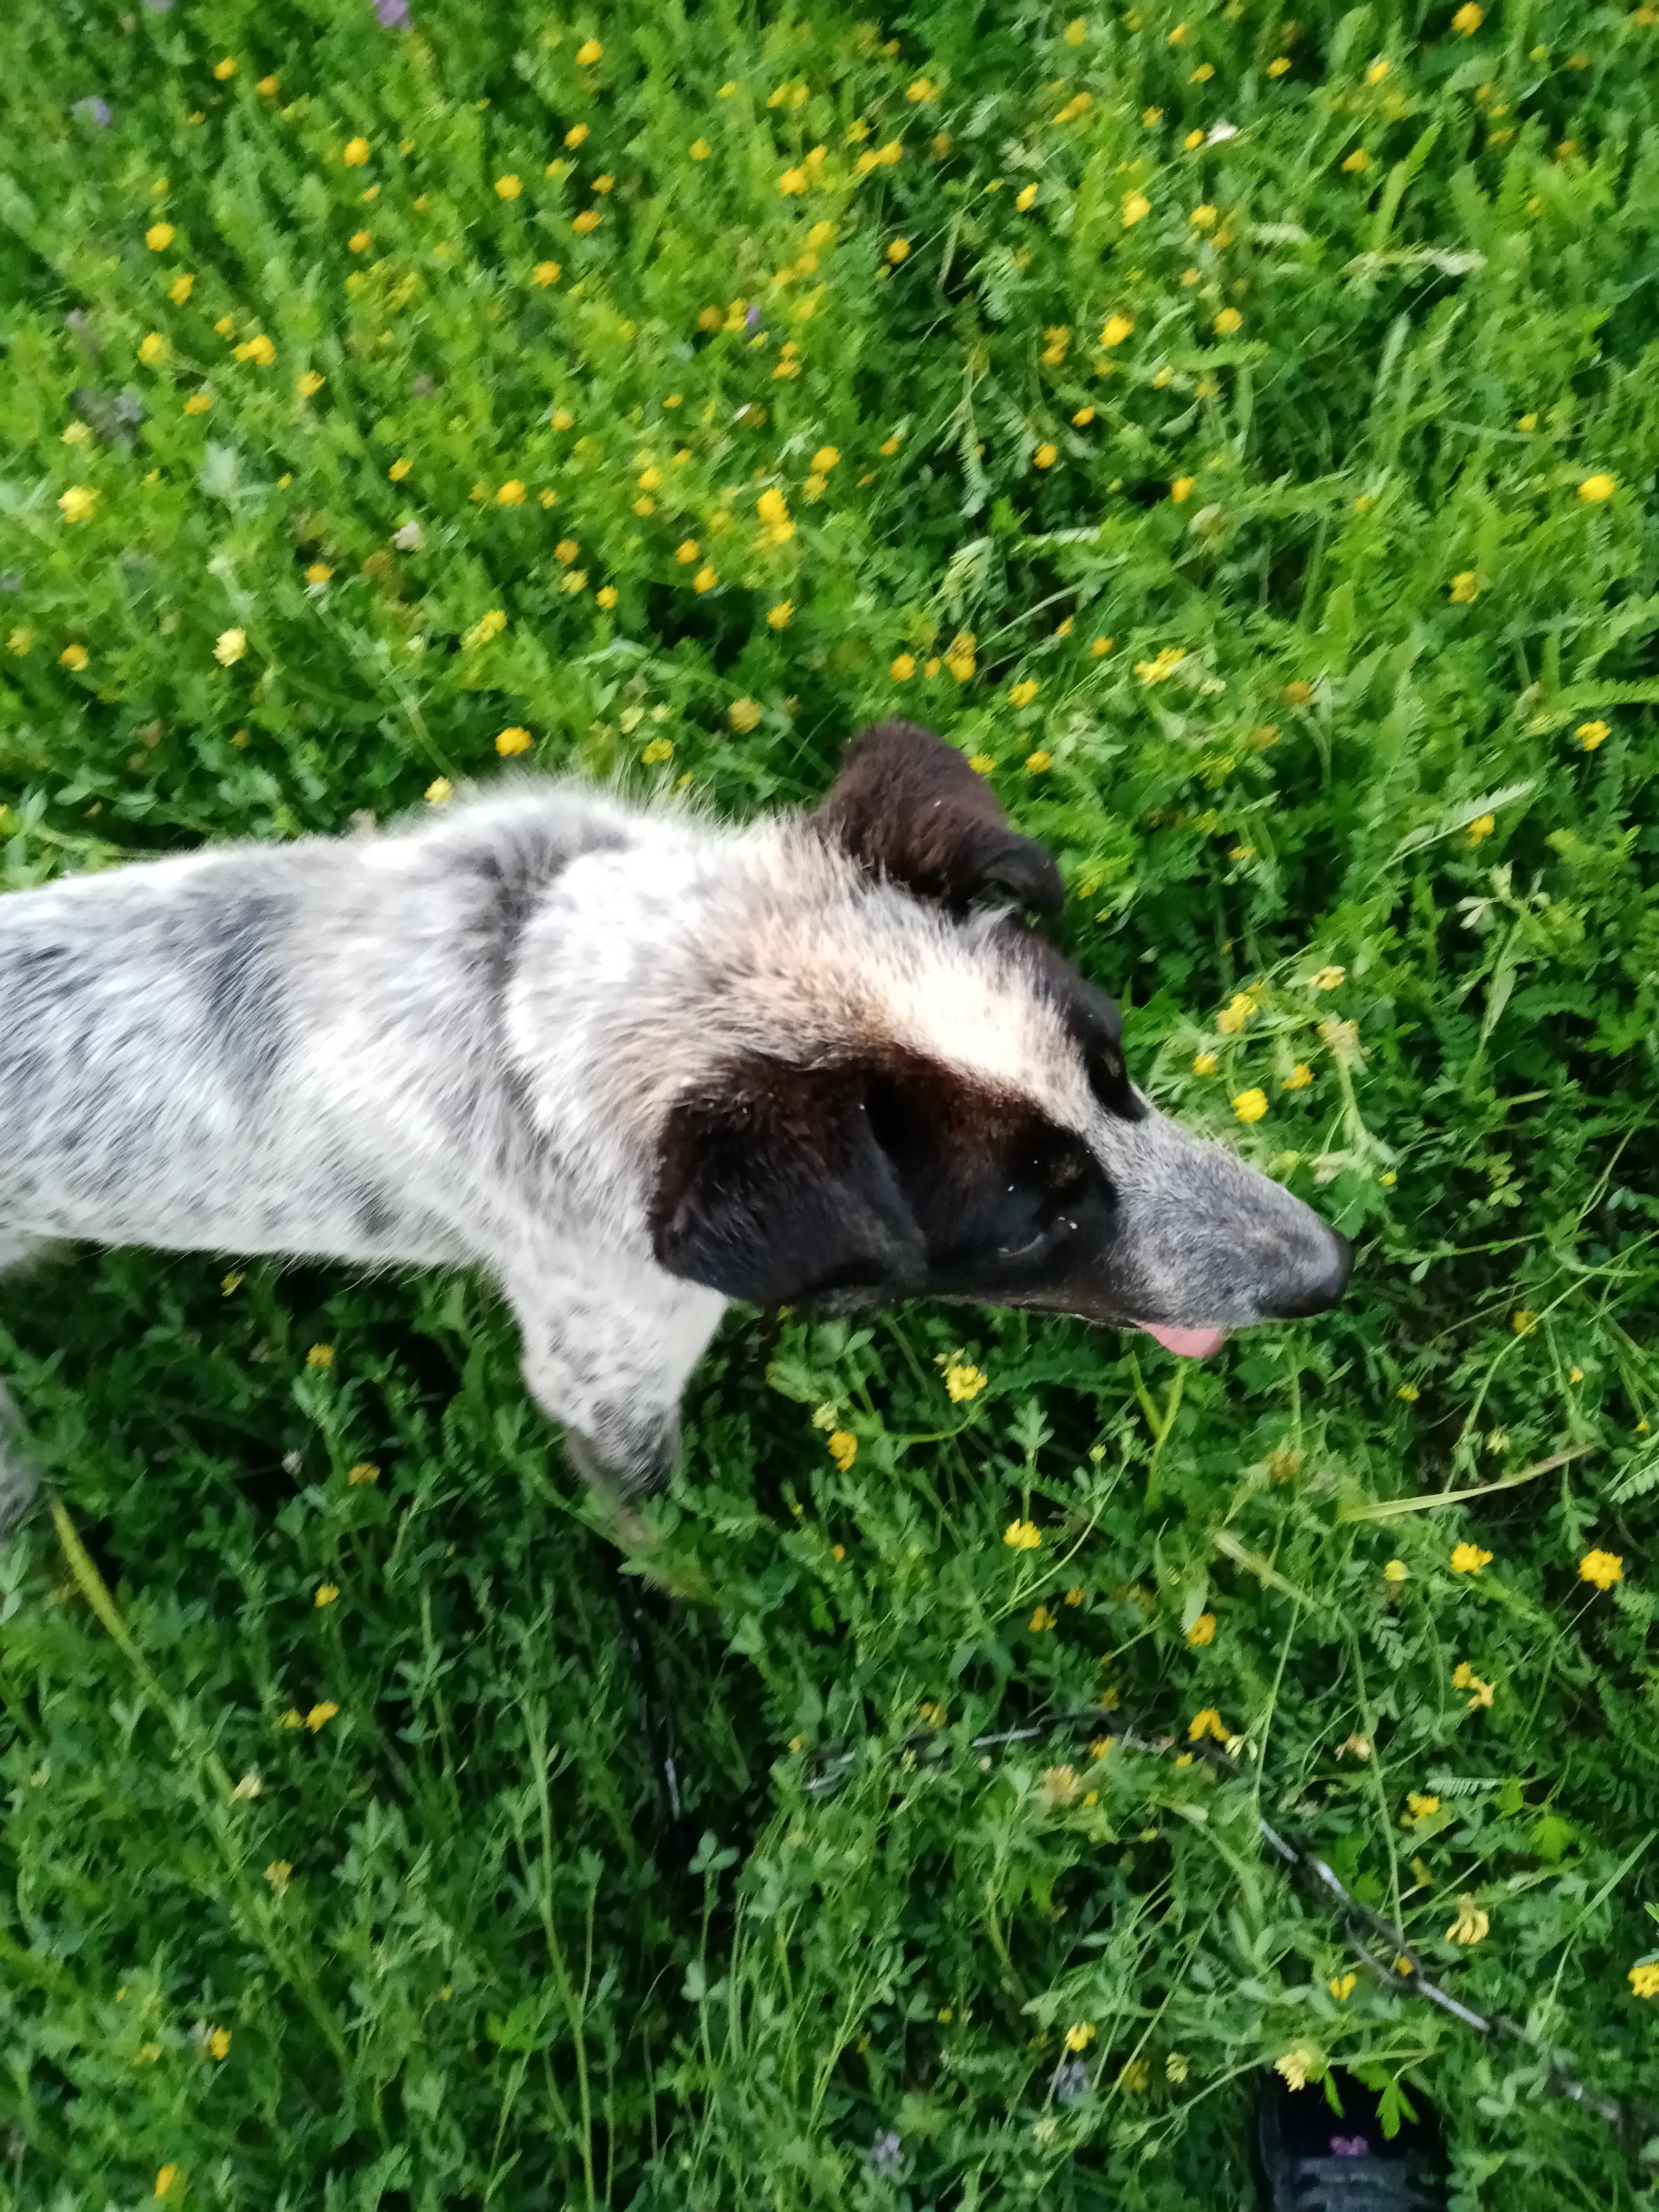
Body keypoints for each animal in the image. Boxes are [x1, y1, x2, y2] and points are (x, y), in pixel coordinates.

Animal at [0, 725, 1353, 1522]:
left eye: (1115, 1070)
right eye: (1030, 1220)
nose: (1329, 1272)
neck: (527, 989)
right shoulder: (606, 1379)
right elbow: (656, 1525)